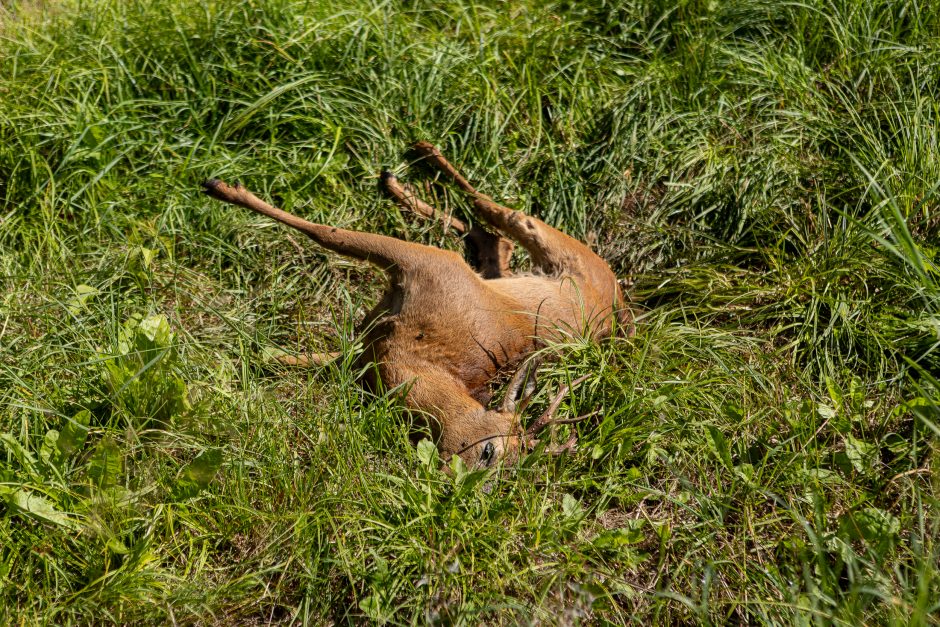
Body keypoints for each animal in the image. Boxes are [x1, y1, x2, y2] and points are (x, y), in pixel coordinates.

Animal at [207, 141, 632, 466]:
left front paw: (248, 355)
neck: (419, 355)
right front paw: (223, 187)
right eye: (490, 452)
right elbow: (327, 233)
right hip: (551, 249)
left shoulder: (361, 351)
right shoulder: (426, 264)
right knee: (498, 215)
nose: (466, 491)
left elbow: (289, 359)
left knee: (490, 237)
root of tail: (619, 302)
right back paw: (416, 158)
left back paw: (401, 177)